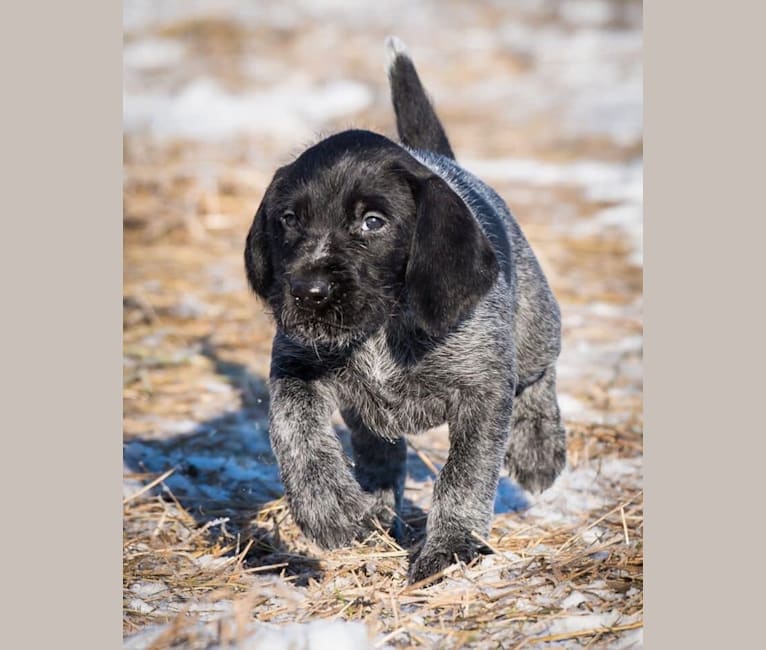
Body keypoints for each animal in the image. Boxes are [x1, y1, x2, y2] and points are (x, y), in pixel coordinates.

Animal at [246, 36, 568, 584]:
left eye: (373, 222)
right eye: (288, 219)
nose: (307, 291)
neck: (381, 326)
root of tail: (437, 157)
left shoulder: (482, 392)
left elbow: (465, 475)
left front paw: (451, 545)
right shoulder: (295, 364)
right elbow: (293, 428)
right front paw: (328, 507)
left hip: (534, 326)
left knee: (539, 374)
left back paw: (538, 446)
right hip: (366, 414)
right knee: (380, 452)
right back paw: (372, 511)